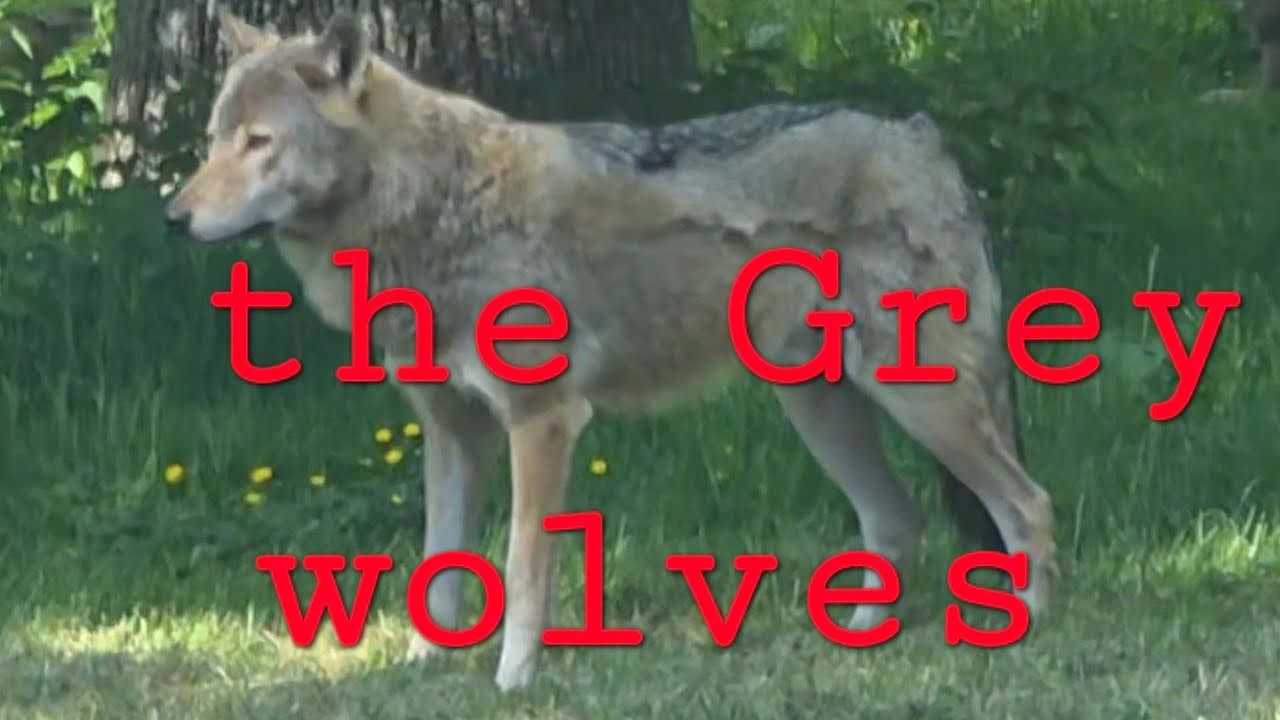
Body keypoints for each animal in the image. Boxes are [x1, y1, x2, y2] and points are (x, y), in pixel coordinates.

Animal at [165, 8, 1058, 691]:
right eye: (213, 140)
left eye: (259, 143)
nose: (173, 217)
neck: (433, 206)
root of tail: (922, 137)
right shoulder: (453, 433)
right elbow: (439, 568)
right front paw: (418, 670)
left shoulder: (543, 421)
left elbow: (522, 567)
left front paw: (512, 682)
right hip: (820, 410)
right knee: (898, 520)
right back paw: (859, 639)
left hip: (919, 406)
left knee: (1027, 504)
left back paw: (1025, 631)